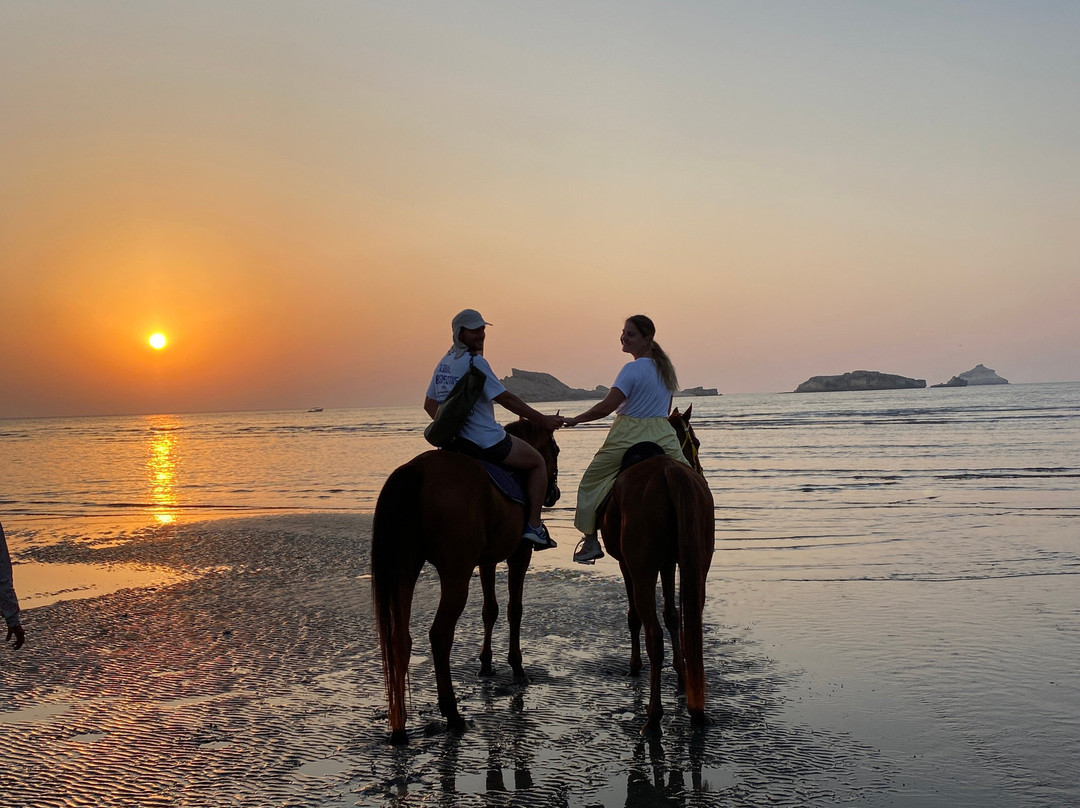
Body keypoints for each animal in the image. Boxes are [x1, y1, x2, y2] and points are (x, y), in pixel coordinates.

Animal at [371, 419, 560, 745]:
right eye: (556, 451)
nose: (555, 494)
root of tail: (415, 471)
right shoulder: (519, 555)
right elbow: (514, 610)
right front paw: (517, 666)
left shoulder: (487, 560)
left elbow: (490, 610)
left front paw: (485, 663)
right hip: (456, 573)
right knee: (440, 635)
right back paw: (451, 712)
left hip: (405, 569)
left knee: (400, 639)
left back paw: (399, 727)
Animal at [597, 404, 715, 735]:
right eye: (696, 442)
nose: (700, 470)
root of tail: (668, 470)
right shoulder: (670, 563)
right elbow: (673, 615)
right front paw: (681, 673)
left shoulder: (628, 566)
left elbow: (634, 617)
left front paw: (634, 665)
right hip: (698, 567)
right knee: (689, 621)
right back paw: (695, 705)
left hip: (643, 572)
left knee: (653, 636)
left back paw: (652, 717)